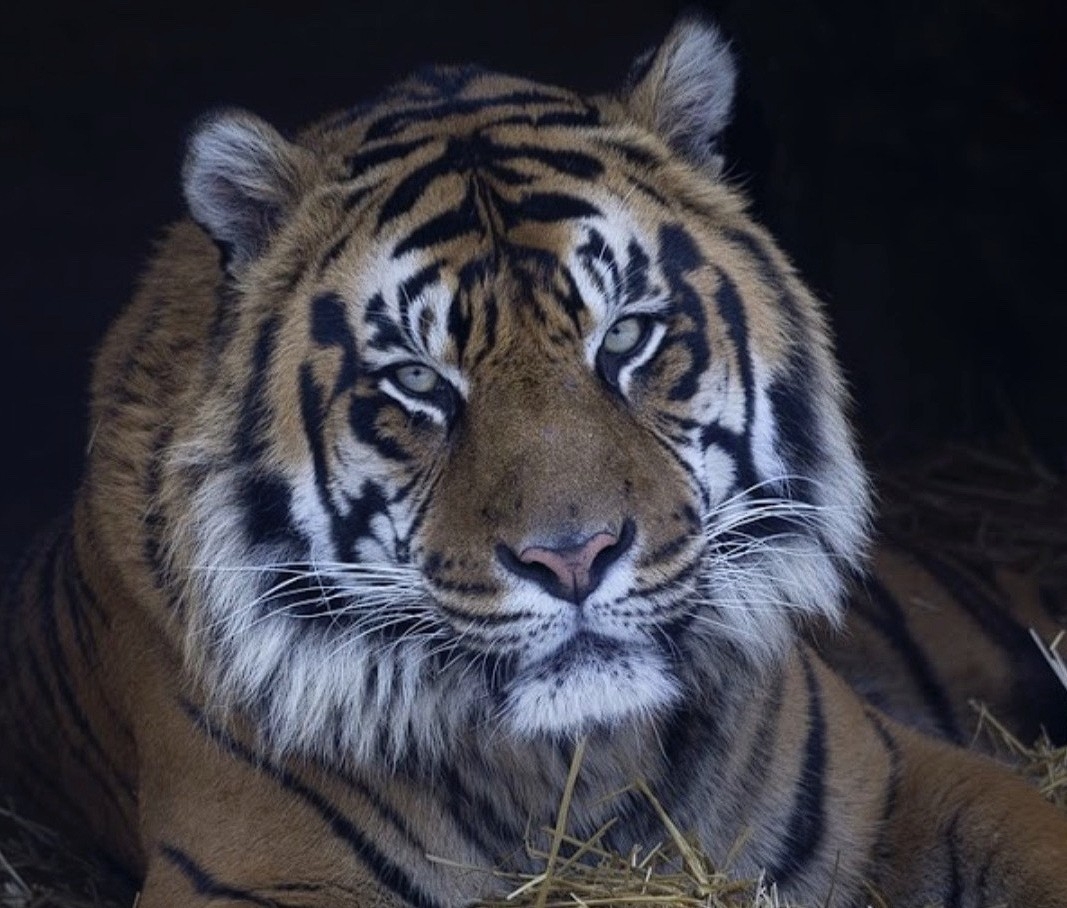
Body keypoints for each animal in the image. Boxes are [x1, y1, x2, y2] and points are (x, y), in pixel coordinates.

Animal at [3, 11, 1066, 907]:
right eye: (420, 381)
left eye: (626, 335)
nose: (572, 559)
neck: (576, 770)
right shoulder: (252, 875)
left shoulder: (904, 779)